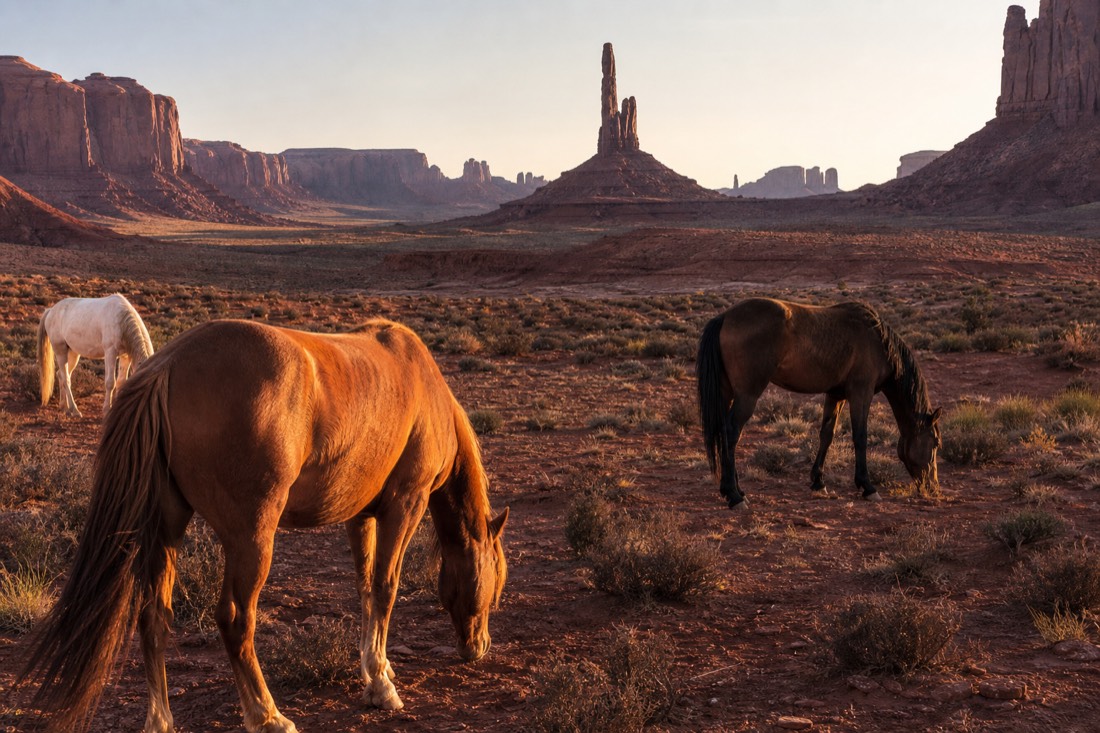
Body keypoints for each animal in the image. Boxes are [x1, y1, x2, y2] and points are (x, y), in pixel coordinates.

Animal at [19, 318, 508, 733]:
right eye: (498, 580)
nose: (479, 647)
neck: (425, 388)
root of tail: (166, 366)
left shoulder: (360, 516)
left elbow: (366, 588)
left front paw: (377, 667)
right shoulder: (405, 505)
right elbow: (386, 589)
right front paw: (382, 687)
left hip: (167, 528)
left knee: (154, 615)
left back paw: (161, 720)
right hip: (251, 539)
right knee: (236, 619)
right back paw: (267, 714)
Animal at [696, 297, 941, 509]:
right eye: (936, 443)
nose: (933, 487)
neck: (878, 342)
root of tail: (725, 317)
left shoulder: (835, 395)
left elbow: (826, 435)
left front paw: (818, 481)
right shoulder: (861, 394)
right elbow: (860, 437)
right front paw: (867, 486)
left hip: (727, 393)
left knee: (724, 433)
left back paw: (735, 490)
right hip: (747, 395)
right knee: (731, 433)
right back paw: (734, 496)